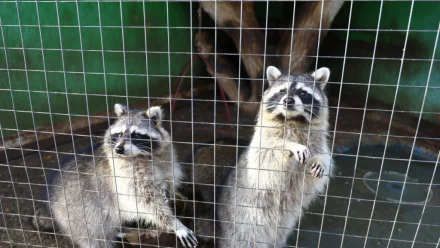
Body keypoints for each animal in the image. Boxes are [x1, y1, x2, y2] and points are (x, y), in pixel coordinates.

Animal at [34, 104, 198, 248]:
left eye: (136, 135)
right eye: (119, 134)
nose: (119, 149)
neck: (142, 156)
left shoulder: (165, 158)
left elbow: (168, 176)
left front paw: (164, 187)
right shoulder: (123, 176)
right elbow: (145, 202)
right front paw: (175, 223)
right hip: (78, 216)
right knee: (94, 239)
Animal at [214, 65, 334, 247]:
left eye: (303, 93)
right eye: (282, 91)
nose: (288, 101)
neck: (293, 119)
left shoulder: (316, 140)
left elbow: (321, 161)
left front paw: (319, 163)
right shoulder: (263, 141)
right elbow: (267, 157)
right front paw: (290, 145)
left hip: (283, 225)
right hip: (243, 220)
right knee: (245, 240)